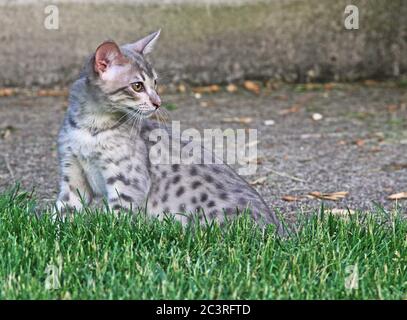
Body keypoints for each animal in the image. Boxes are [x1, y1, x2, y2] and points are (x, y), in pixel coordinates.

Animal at [55, 30, 286, 235]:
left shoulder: (128, 183)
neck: (91, 128)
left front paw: (111, 233)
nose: (158, 102)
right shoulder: (72, 174)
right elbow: (64, 209)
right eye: (137, 86)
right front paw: (59, 231)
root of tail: (279, 234)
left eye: (155, 82)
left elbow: (117, 218)